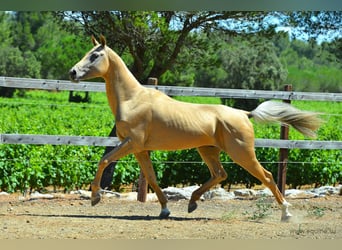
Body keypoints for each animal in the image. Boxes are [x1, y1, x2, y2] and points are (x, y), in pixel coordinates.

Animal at [70, 35, 324, 221]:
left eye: (95, 55)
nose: (72, 72)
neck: (133, 99)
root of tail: (244, 114)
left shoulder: (131, 143)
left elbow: (104, 160)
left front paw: (95, 197)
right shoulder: (140, 149)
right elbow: (151, 177)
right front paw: (165, 210)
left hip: (241, 153)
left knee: (267, 176)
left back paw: (286, 214)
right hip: (208, 150)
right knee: (220, 174)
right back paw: (192, 202)